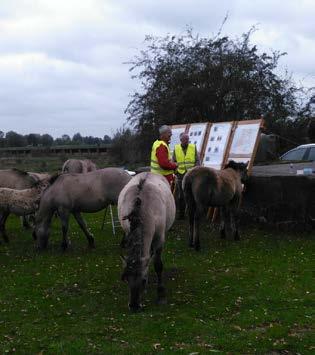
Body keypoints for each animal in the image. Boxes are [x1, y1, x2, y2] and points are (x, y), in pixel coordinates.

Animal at [119, 174, 178, 312]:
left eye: (144, 280)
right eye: (126, 279)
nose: (134, 306)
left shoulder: (159, 239)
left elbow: (158, 264)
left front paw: (161, 294)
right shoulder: (128, 231)